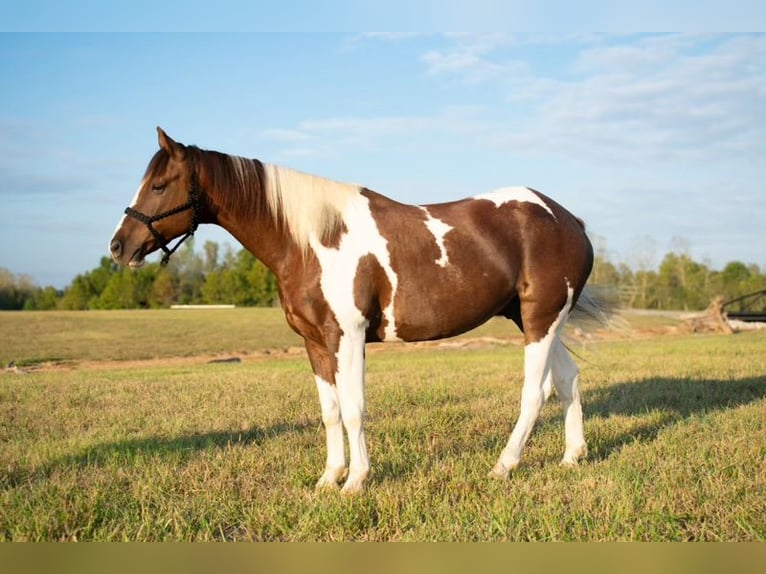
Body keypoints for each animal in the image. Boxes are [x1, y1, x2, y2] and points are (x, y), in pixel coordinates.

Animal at [108, 128, 600, 498]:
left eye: (159, 185)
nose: (118, 246)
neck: (312, 238)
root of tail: (569, 220)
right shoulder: (314, 342)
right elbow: (330, 411)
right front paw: (329, 478)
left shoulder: (347, 335)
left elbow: (354, 409)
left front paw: (356, 481)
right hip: (536, 320)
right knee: (566, 380)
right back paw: (571, 457)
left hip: (540, 321)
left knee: (535, 392)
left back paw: (503, 466)